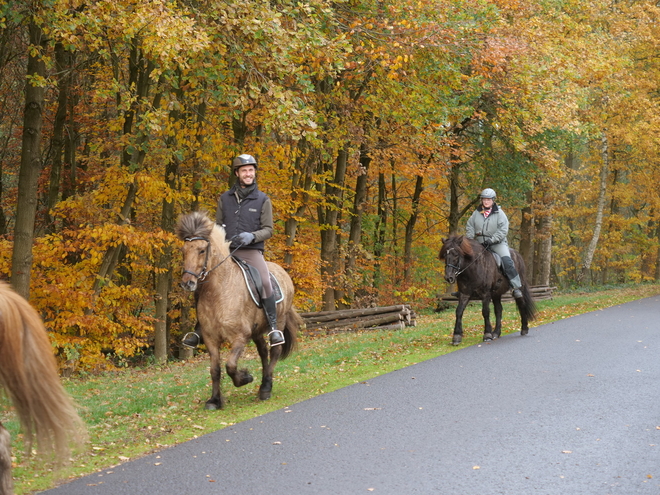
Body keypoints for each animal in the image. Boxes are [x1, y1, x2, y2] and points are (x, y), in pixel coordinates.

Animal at [174, 211, 300, 408]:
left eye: (202, 250)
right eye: (184, 251)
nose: (188, 283)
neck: (218, 293)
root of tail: (282, 270)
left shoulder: (240, 337)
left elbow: (230, 366)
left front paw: (245, 378)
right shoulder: (210, 338)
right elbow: (215, 369)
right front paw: (214, 400)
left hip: (279, 321)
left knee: (274, 352)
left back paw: (266, 388)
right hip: (257, 331)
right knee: (263, 352)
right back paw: (263, 385)